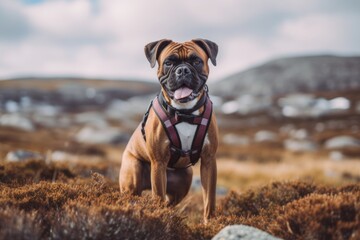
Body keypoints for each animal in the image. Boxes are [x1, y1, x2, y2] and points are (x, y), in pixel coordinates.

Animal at [119, 38, 218, 223]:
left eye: (196, 61)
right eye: (168, 62)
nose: (183, 70)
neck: (185, 112)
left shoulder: (209, 161)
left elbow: (209, 199)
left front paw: (210, 223)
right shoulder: (158, 163)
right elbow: (158, 196)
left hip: (184, 180)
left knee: (169, 202)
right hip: (133, 176)